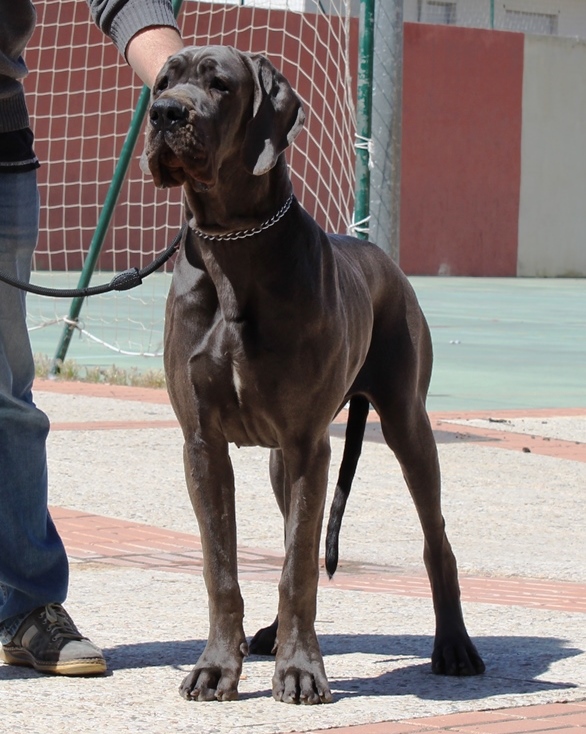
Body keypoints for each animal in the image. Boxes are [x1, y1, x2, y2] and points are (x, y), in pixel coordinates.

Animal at [143, 46, 484, 708]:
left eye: (219, 84)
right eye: (164, 80)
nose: (165, 113)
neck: (233, 244)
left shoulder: (307, 444)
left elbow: (299, 565)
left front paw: (301, 671)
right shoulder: (204, 444)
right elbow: (224, 565)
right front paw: (218, 666)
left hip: (406, 424)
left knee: (436, 540)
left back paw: (454, 646)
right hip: (286, 459)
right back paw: (272, 634)